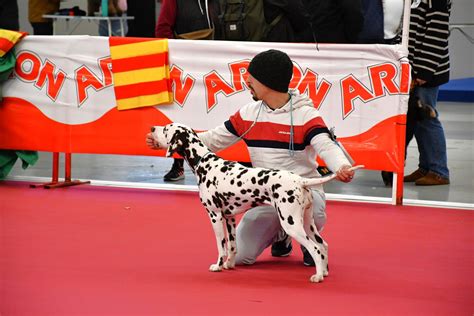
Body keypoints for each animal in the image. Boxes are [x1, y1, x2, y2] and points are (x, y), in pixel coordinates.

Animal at [152, 123, 362, 284]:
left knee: (316, 249)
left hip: (291, 223)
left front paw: (218, 266)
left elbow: (221, 246)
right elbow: (232, 246)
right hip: (307, 223)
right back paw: (324, 272)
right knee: (323, 245)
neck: (205, 163)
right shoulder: (229, 217)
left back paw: (317, 276)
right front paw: (229, 265)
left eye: (166, 129)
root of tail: (301, 180)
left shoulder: (215, 216)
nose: (153, 128)